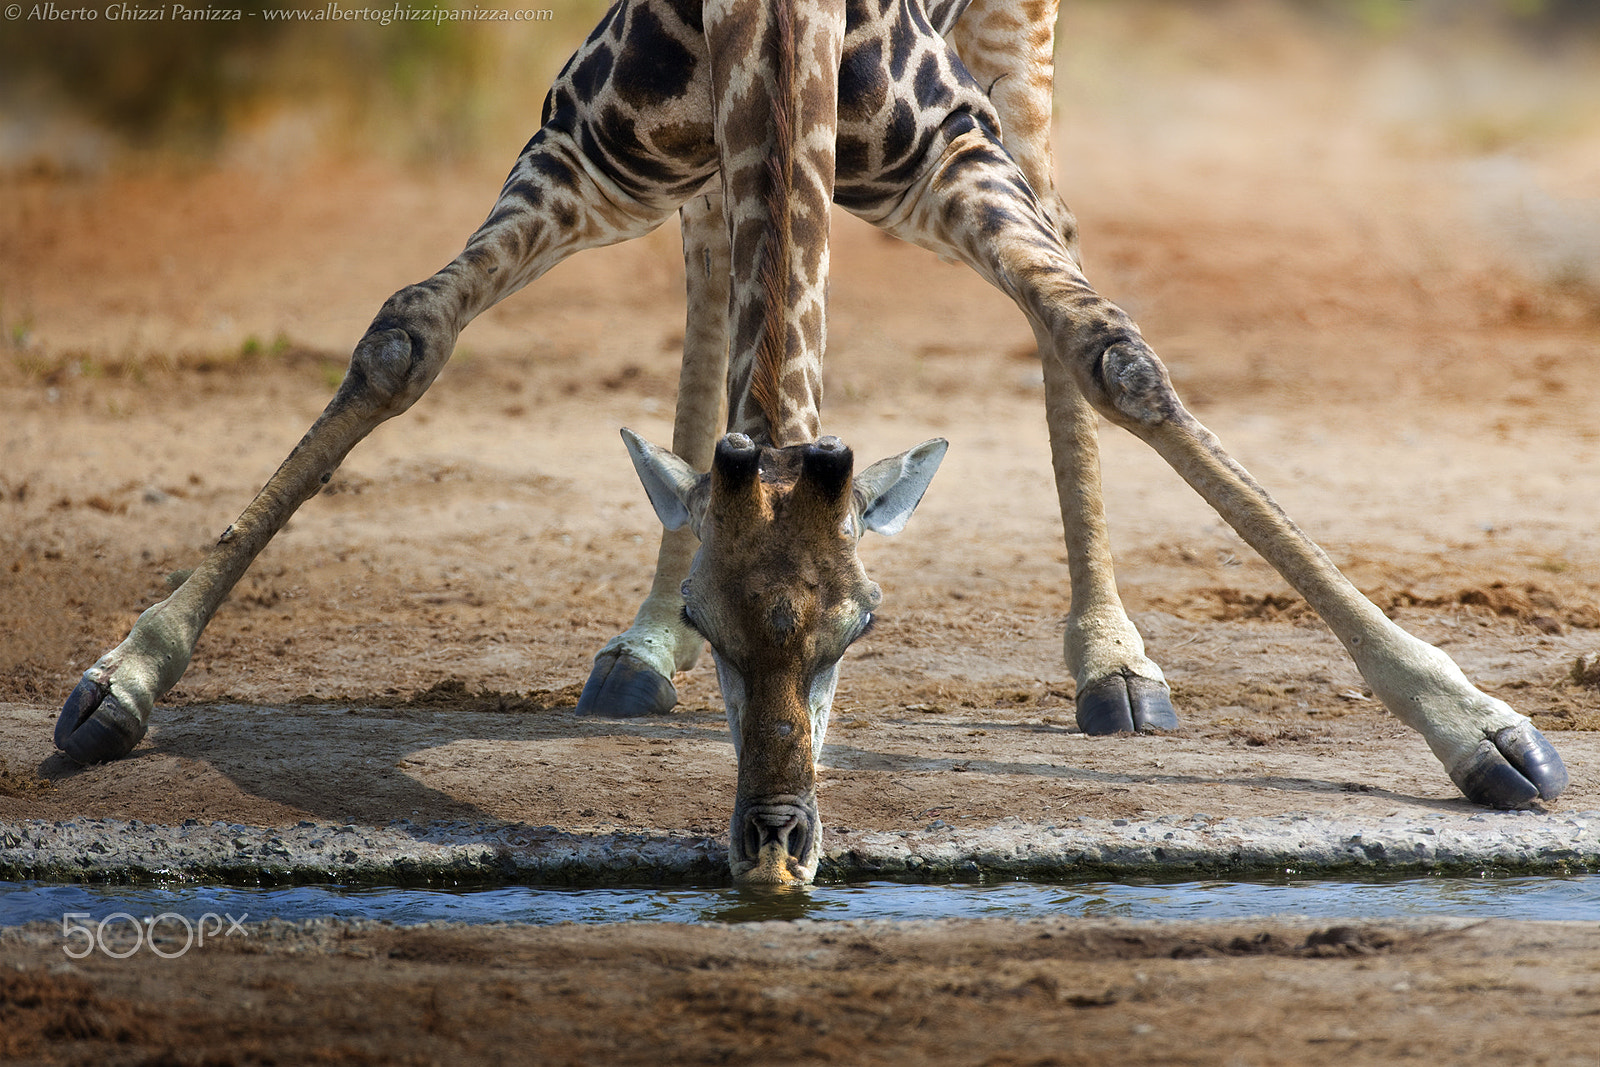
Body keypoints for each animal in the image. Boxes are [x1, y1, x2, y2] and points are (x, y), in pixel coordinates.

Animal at [56, 0, 1568, 889]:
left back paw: (1116, 662)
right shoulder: (584, 149)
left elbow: (1115, 351)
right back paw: (627, 652)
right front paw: (119, 681)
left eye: (860, 629)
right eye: (721, 629)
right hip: (692, 165)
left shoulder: (952, 147)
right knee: (708, 260)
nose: (776, 845)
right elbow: (401, 335)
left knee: (1062, 235)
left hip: (1016, 46)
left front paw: (1484, 730)